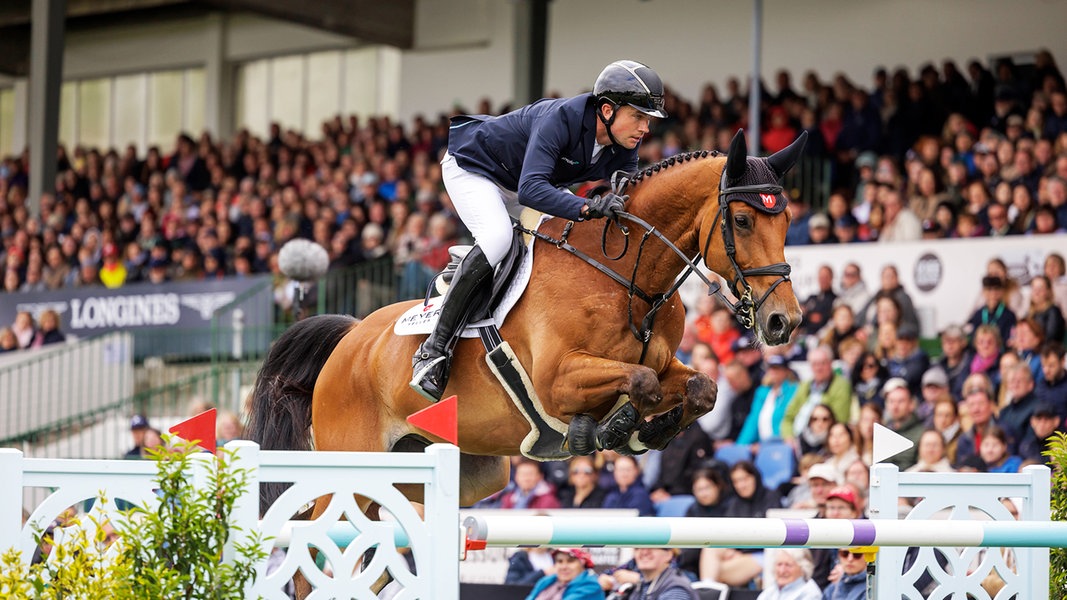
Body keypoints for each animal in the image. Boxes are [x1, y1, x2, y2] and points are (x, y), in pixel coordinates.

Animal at [245, 129, 802, 508]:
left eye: (789, 222)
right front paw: (608, 430)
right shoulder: (558, 379)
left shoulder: (668, 367)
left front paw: (648, 433)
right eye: (743, 220)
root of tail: (349, 339)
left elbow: (700, 388)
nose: (784, 322)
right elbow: (639, 380)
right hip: (352, 471)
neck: (626, 278)